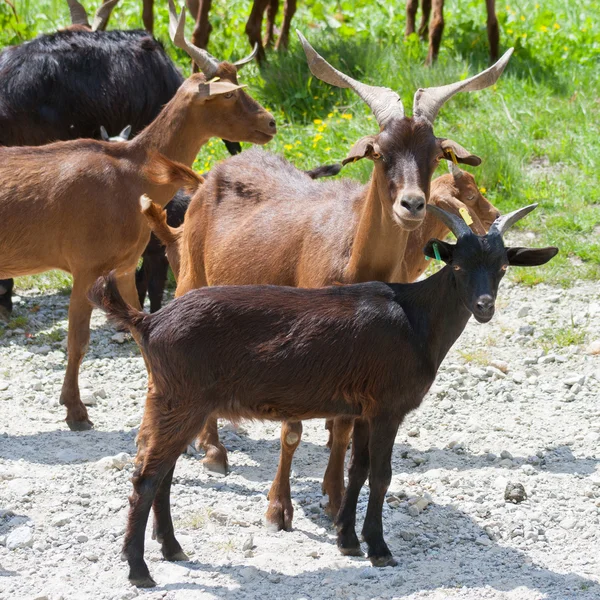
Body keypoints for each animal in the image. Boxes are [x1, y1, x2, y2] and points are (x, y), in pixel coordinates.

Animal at [0, 1, 276, 432]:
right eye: (229, 95)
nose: (271, 123)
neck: (129, 176)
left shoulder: (127, 266)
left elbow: (140, 328)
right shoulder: (85, 265)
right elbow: (77, 340)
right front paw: (76, 411)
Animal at [89, 202, 556, 584]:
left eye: (502, 267)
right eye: (458, 266)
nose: (484, 306)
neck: (415, 319)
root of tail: (148, 322)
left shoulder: (365, 408)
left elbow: (358, 470)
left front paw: (347, 540)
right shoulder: (388, 407)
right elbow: (382, 475)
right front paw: (379, 549)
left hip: (171, 400)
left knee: (161, 472)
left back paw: (172, 549)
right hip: (181, 399)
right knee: (147, 476)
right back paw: (140, 570)